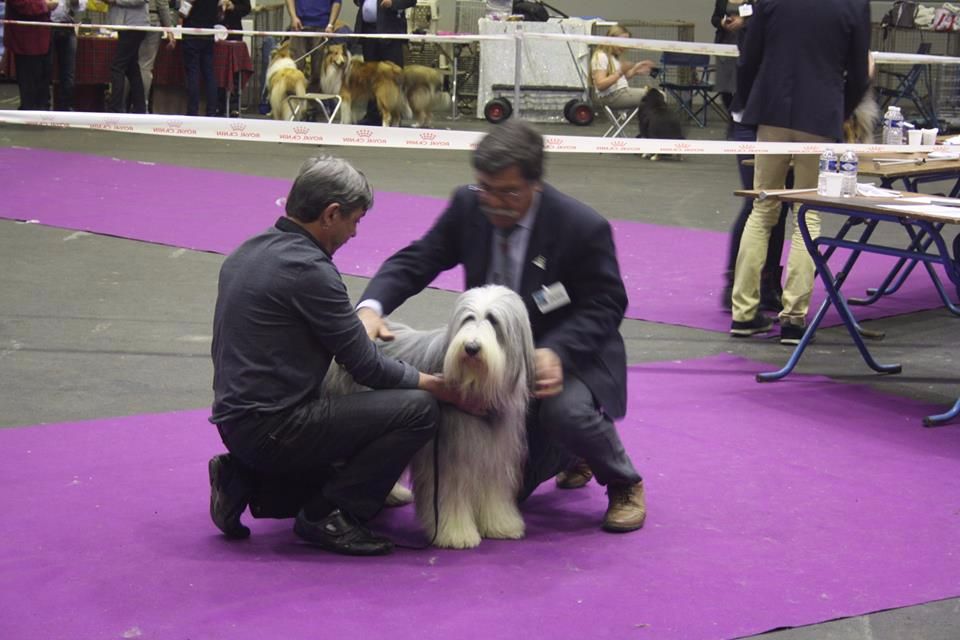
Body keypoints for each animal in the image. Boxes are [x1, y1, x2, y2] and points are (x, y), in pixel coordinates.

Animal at [323, 285, 535, 549]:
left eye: (493, 320)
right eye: (468, 319)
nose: (471, 347)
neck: (477, 383)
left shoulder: (496, 452)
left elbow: (494, 491)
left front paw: (501, 524)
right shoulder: (447, 458)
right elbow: (450, 495)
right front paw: (456, 533)